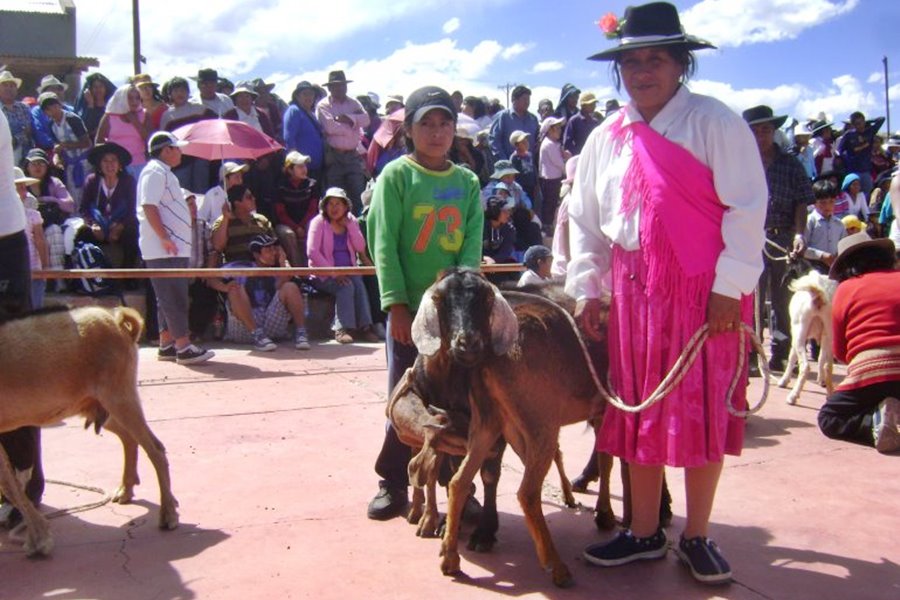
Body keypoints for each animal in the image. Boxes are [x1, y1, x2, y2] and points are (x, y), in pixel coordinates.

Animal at [0, 306, 179, 557]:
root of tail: (117, 321)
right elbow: (9, 483)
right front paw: (39, 536)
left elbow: (9, 483)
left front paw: (39, 539)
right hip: (97, 405)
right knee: (129, 437)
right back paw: (127, 489)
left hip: (119, 394)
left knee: (154, 447)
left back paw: (168, 512)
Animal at [400, 267, 606, 587]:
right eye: (438, 299)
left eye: (486, 298)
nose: (468, 343)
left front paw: (479, 532)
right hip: (535, 424)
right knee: (526, 490)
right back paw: (557, 565)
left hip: (501, 423)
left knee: (463, 479)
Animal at [778, 270, 837, 404]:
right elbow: (821, 358)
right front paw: (821, 380)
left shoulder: (795, 333)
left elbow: (791, 356)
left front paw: (784, 380)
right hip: (830, 332)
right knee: (828, 366)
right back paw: (830, 394)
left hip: (800, 329)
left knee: (805, 366)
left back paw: (793, 396)